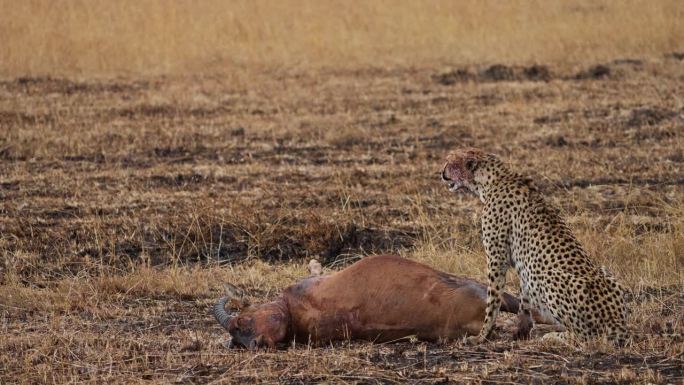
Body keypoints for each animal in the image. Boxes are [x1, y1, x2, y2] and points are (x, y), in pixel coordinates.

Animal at [440, 148, 628, 344]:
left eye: (449, 162)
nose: (442, 173)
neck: (494, 179)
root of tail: (617, 322)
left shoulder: (497, 259)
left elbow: (493, 300)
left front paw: (482, 336)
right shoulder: (524, 267)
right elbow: (524, 299)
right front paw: (521, 331)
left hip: (550, 277)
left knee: (584, 335)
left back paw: (554, 335)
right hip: (607, 273)